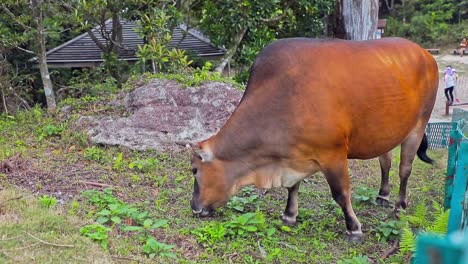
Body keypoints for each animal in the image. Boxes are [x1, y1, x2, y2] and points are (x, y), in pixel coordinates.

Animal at [184, 37, 438, 239]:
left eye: (195, 170)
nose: (194, 206)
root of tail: (425, 53)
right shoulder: (295, 156)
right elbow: (292, 187)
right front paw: (289, 214)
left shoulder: (333, 155)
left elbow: (340, 193)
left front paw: (353, 227)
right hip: (386, 133)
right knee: (385, 162)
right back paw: (383, 195)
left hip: (418, 125)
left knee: (405, 169)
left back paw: (399, 205)